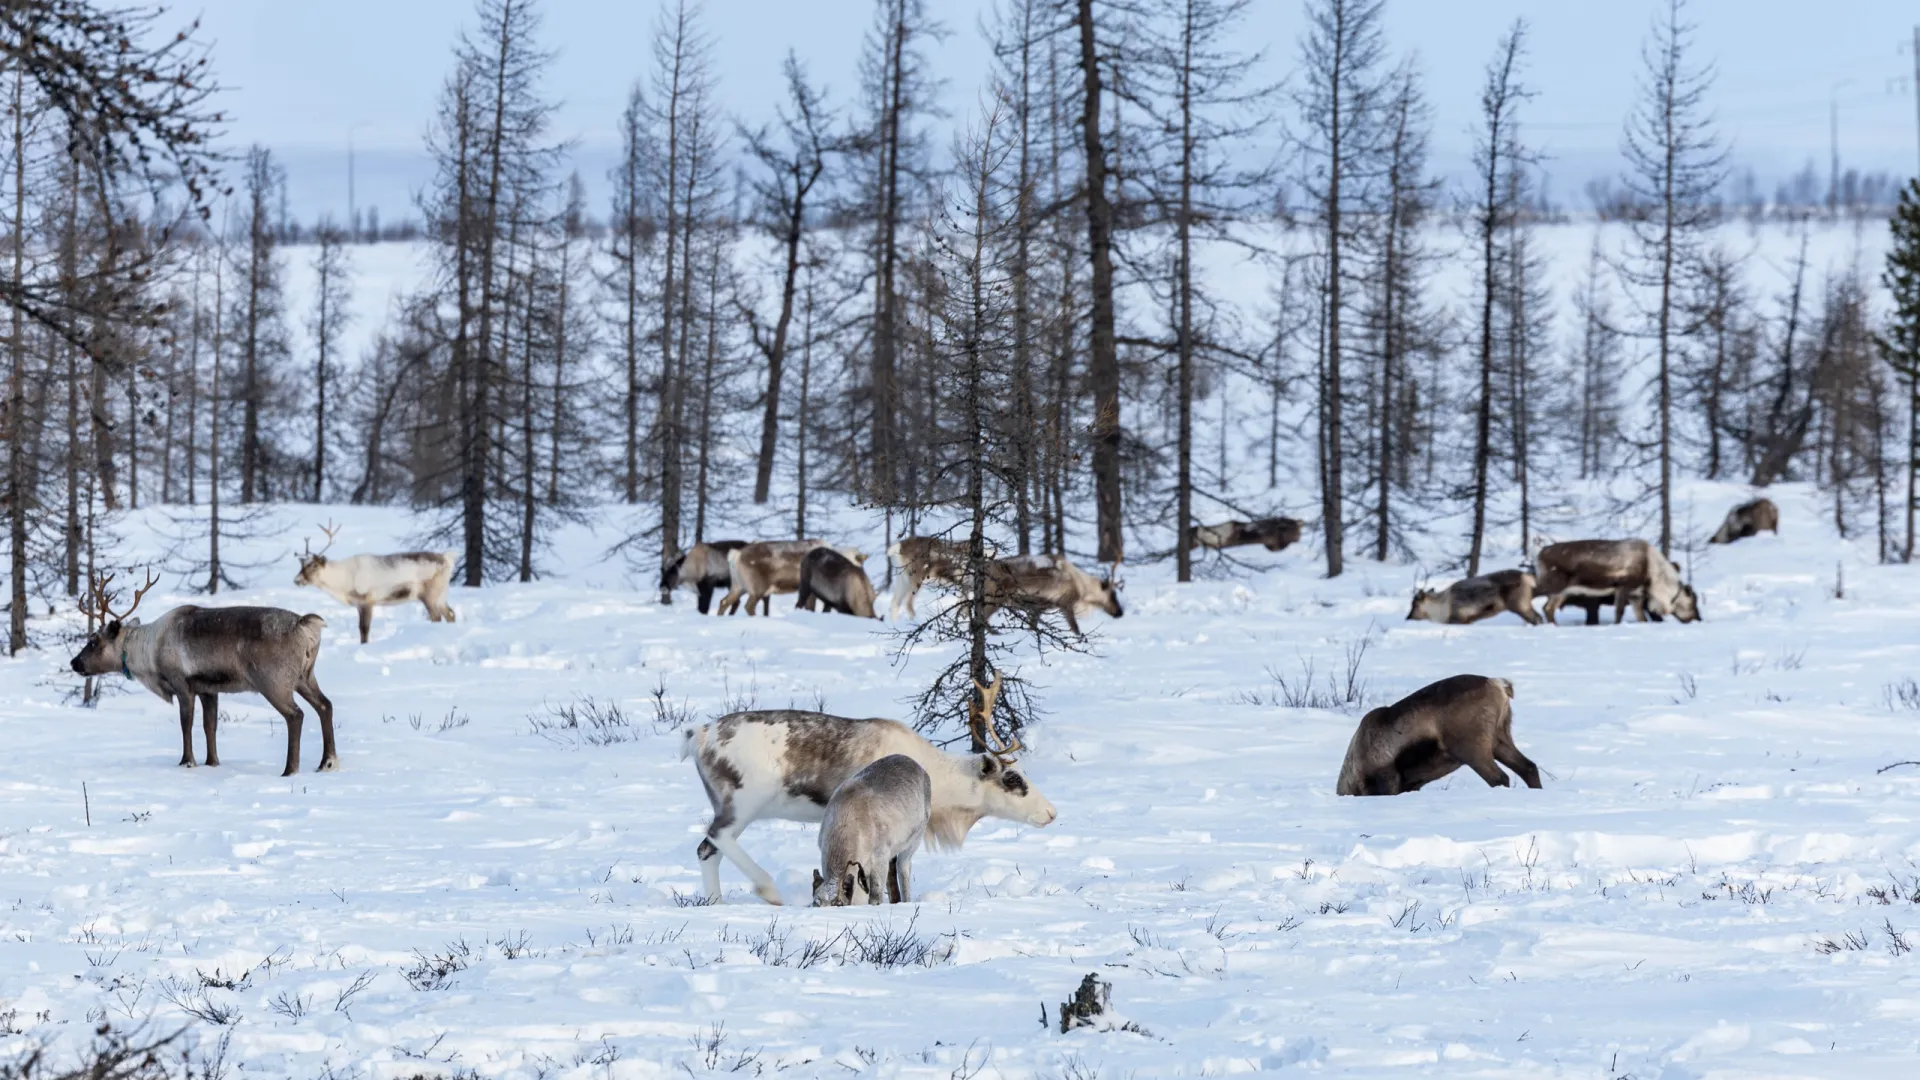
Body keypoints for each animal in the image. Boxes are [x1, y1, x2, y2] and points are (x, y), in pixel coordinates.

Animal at [65, 564, 337, 772]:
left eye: (94, 641)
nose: (74, 662)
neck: (149, 652)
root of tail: (306, 625)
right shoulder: (209, 689)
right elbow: (210, 726)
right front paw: (212, 762)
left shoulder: (182, 684)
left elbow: (186, 723)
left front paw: (187, 762)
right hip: (305, 677)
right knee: (325, 705)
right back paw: (327, 762)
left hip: (274, 682)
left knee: (296, 715)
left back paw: (290, 769)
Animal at [291, 522, 456, 638]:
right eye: (302, 565)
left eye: (313, 565)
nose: (296, 580)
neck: (342, 582)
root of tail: (446, 559)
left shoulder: (366, 600)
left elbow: (364, 629)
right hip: (441, 595)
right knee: (451, 614)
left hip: (430, 594)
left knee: (437, 617)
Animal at [810, 753, 929, 903]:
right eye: (815, 903)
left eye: (839, 903)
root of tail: (919, 768)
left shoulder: (881, 855)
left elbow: (875, 896)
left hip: (914, 840)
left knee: (903, 868)